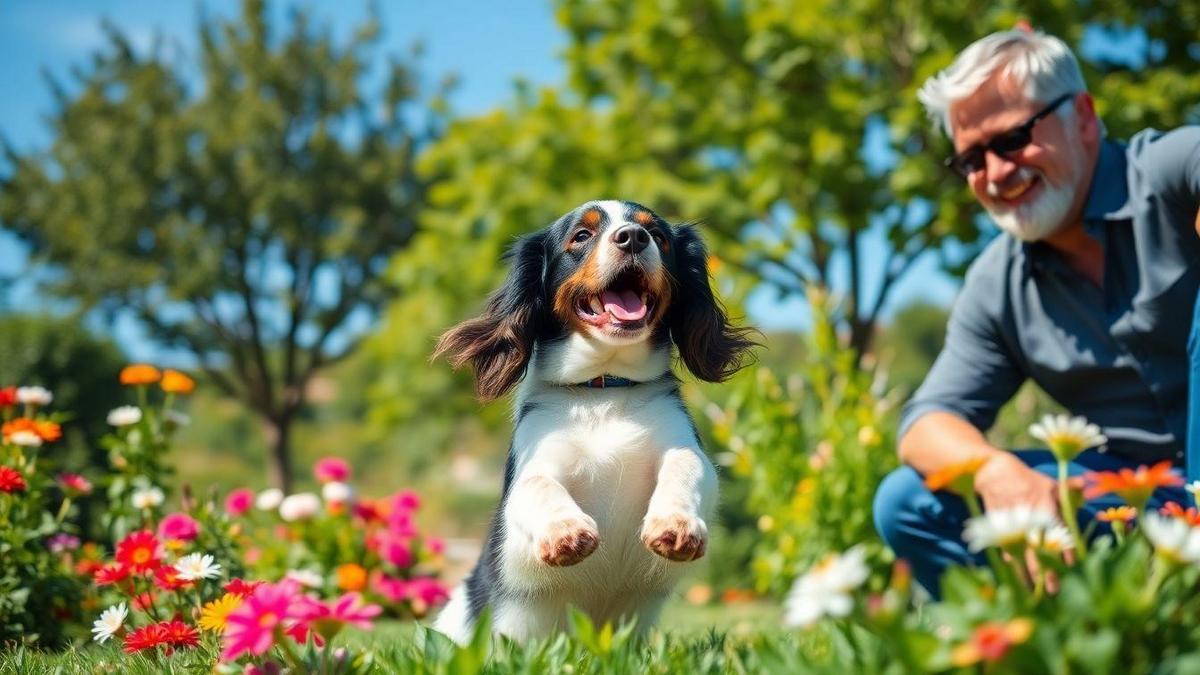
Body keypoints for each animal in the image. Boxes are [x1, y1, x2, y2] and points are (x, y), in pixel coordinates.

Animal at [432, 198, 748, 638]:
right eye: (581, 235)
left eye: (658, 235)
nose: (633, 237)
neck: (603, 392)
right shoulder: (534, 463)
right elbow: (538, 485)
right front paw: (565, 532)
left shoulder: (685, 446)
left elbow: (686, 465)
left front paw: (675, 525)